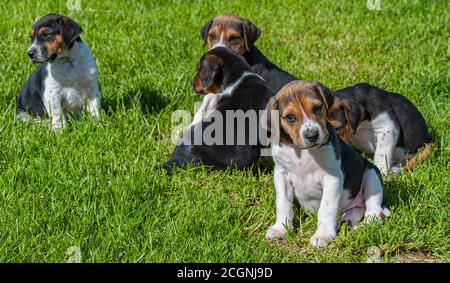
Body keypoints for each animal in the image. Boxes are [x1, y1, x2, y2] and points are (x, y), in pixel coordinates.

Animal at [264, 80, 390, 248]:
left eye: (317, 108)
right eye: (290, 117)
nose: (312, 135)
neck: (303, 152)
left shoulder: (332, 177)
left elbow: (326, 207)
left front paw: (323, 235)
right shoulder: (281, 174)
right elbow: (283, 203)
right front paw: (280, 229)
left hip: (371, 175)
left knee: (374, 212)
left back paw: (361, 228)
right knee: (359, 208)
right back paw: (347, 220)